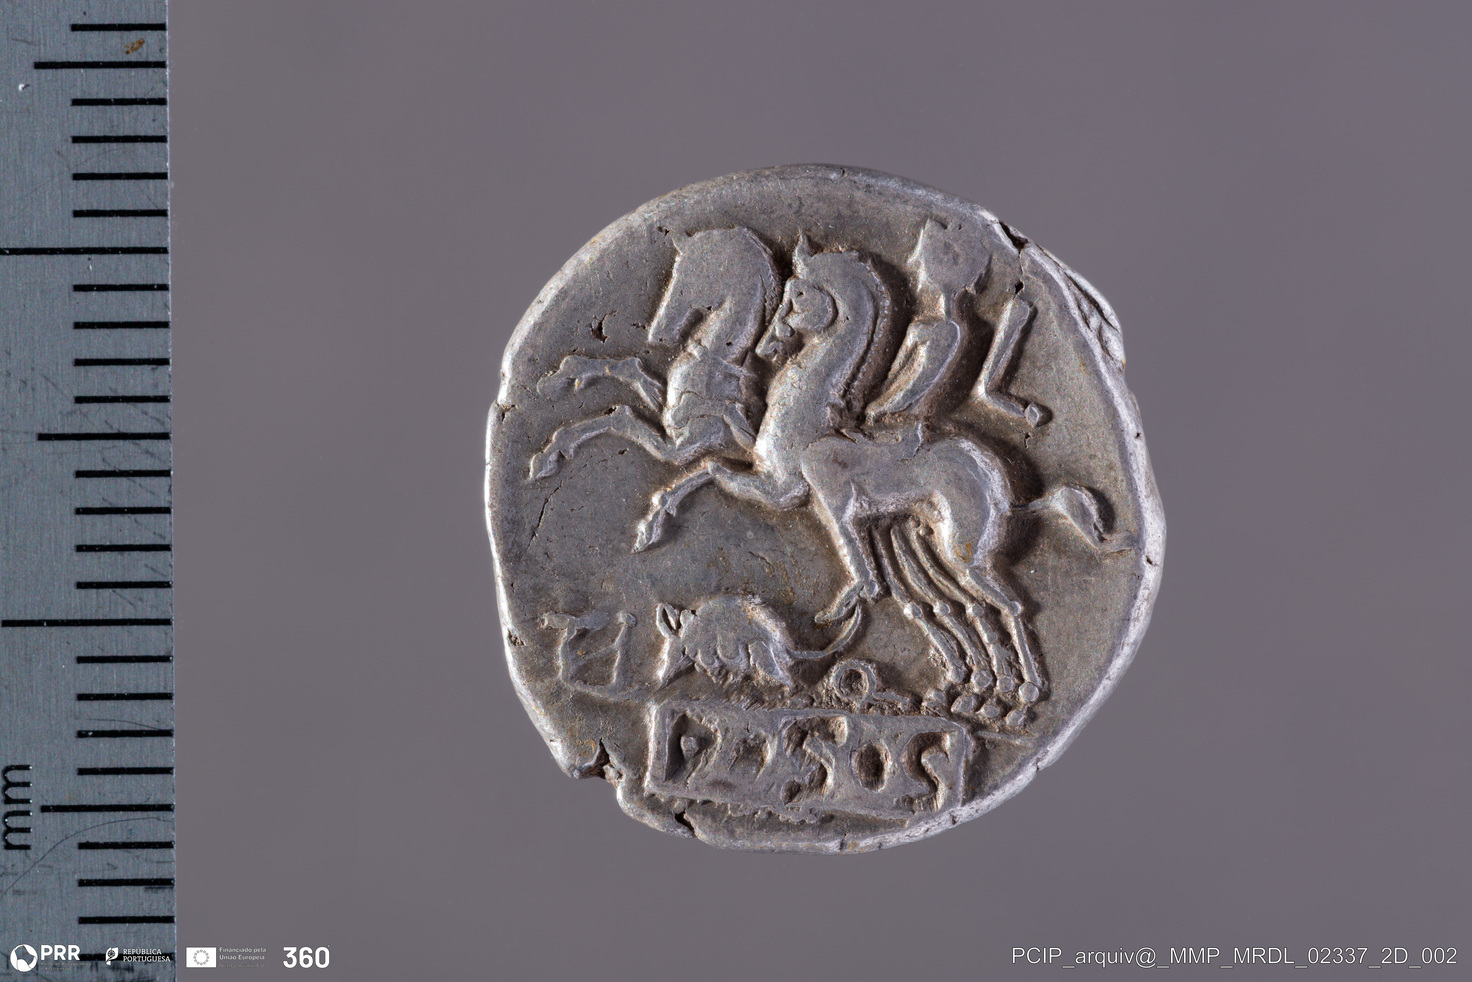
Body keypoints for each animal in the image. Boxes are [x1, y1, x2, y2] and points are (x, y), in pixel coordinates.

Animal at [528, 227, 781, 479]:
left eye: (689, 276)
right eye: (675, 273)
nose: (658, 334)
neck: (714, 362)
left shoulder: (690, 440)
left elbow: (624, 419)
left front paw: (549, 454)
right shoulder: (669, 412)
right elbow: (629, 373)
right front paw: (559, 379)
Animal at [633, 238, 1112, 721]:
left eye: (796, 295)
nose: (768, 348)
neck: (810, 420)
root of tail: (1005, 491)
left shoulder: (787, 493)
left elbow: (712, 469)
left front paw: (652, 523)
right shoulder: (779, 482)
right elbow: (708, 465)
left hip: (964, 551)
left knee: (1005, 604)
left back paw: (1019, 696)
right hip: (942, 544)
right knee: (969, 607)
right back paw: (975, 693)